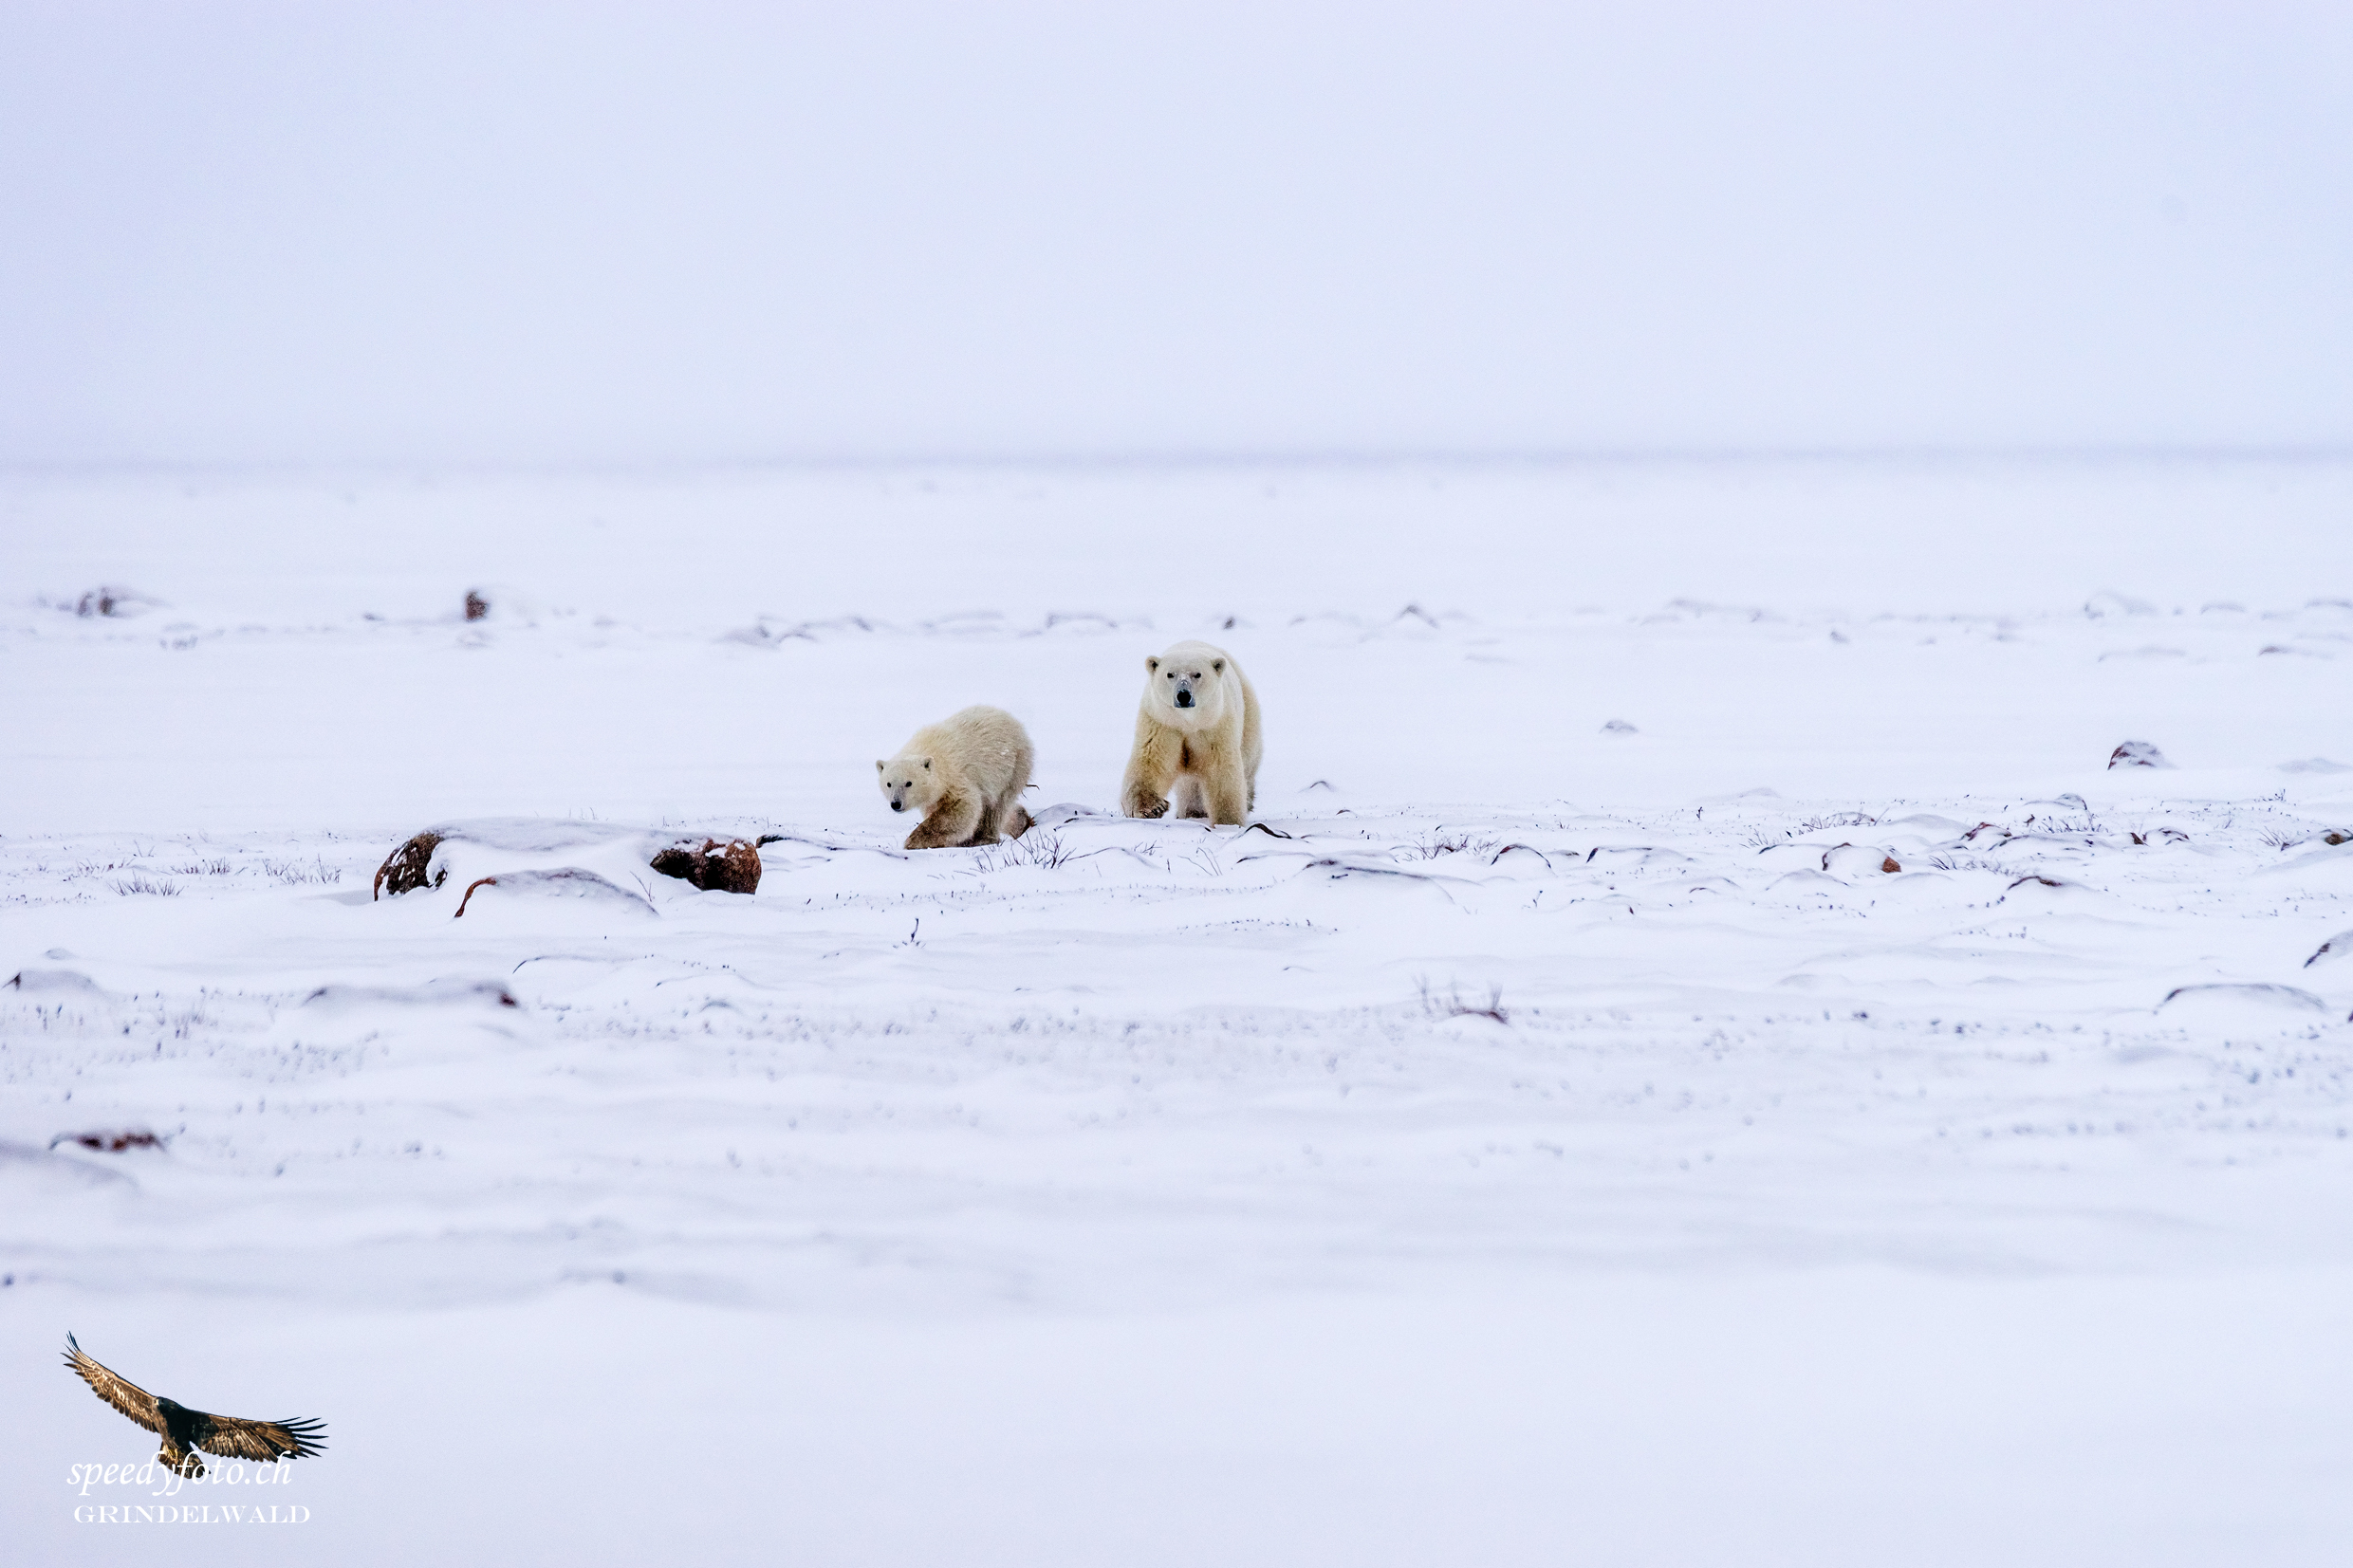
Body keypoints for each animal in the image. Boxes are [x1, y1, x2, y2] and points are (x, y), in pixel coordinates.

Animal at [880, 710, 1035, 851]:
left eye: (909, 783)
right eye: (889, 784)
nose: (896, 804)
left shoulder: (955, 776)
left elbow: (962, 806)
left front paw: (914, 840)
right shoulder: (933, 796)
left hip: (1014, 767)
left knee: (996, 806)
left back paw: (982, 837)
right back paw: (1021, 820)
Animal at [1124, 644, 1270, 827]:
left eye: (1198, 674)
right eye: (1170, 674)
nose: (1183, 694)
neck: (1188, 721)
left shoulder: (1214, 725)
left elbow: (1221, 770)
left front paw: (1228, 822)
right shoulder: (1161, 722)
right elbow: (1151, 761)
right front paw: (1153, 808)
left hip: (1248, 715)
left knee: (1248, 761)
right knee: (1188, 784)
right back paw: (1191, 812)